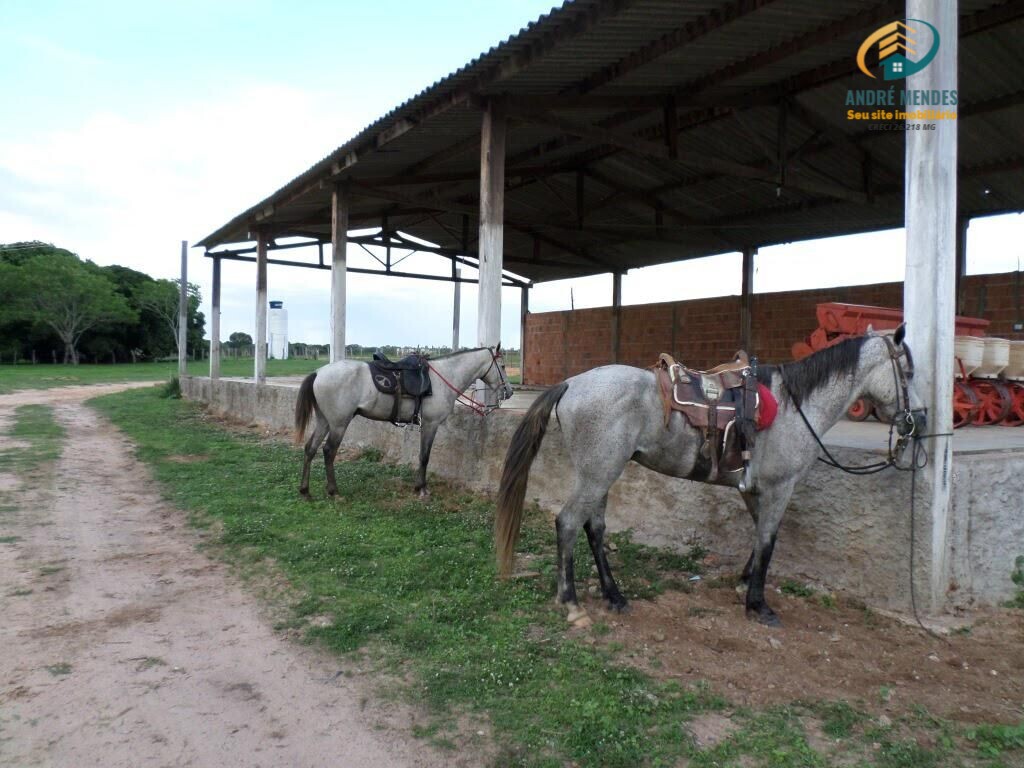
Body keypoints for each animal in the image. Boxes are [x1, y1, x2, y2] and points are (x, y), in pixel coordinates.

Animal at [294, 348, 512, 499]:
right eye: (502, 366)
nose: (508, 391)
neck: (444, 378)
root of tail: (318, 373)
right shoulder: (431, 424)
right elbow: (424, 456)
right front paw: (421, 489)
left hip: (324, 421)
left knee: (310, 449)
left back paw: (305, 491)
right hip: (339, 423)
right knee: (329, 451)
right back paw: (333, 491)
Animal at [495, 327, 929, 626]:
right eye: (907, 373)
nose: (920, 420)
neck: (795, 406)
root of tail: (570, 383)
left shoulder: (755, 489)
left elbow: (759, 534)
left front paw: (744, 582)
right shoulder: (780, 488)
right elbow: (769, 539)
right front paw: (758, 604)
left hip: (600, 472)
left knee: (594, 527)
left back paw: (614, 595)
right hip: (597, 473)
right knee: (568, 523)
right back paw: (570, 601)